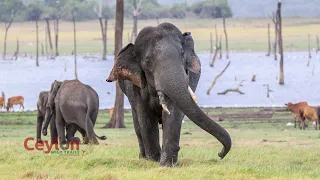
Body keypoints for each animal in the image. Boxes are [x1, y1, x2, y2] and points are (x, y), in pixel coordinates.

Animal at [106, 23, 231, 167]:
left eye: (182, 54)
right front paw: (154, 161)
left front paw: (167, 165)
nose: (220, 154)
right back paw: (143, 158)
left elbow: (173, 113)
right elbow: (146, 117)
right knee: (137, 125)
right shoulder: (135, 86)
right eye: (148, 61)